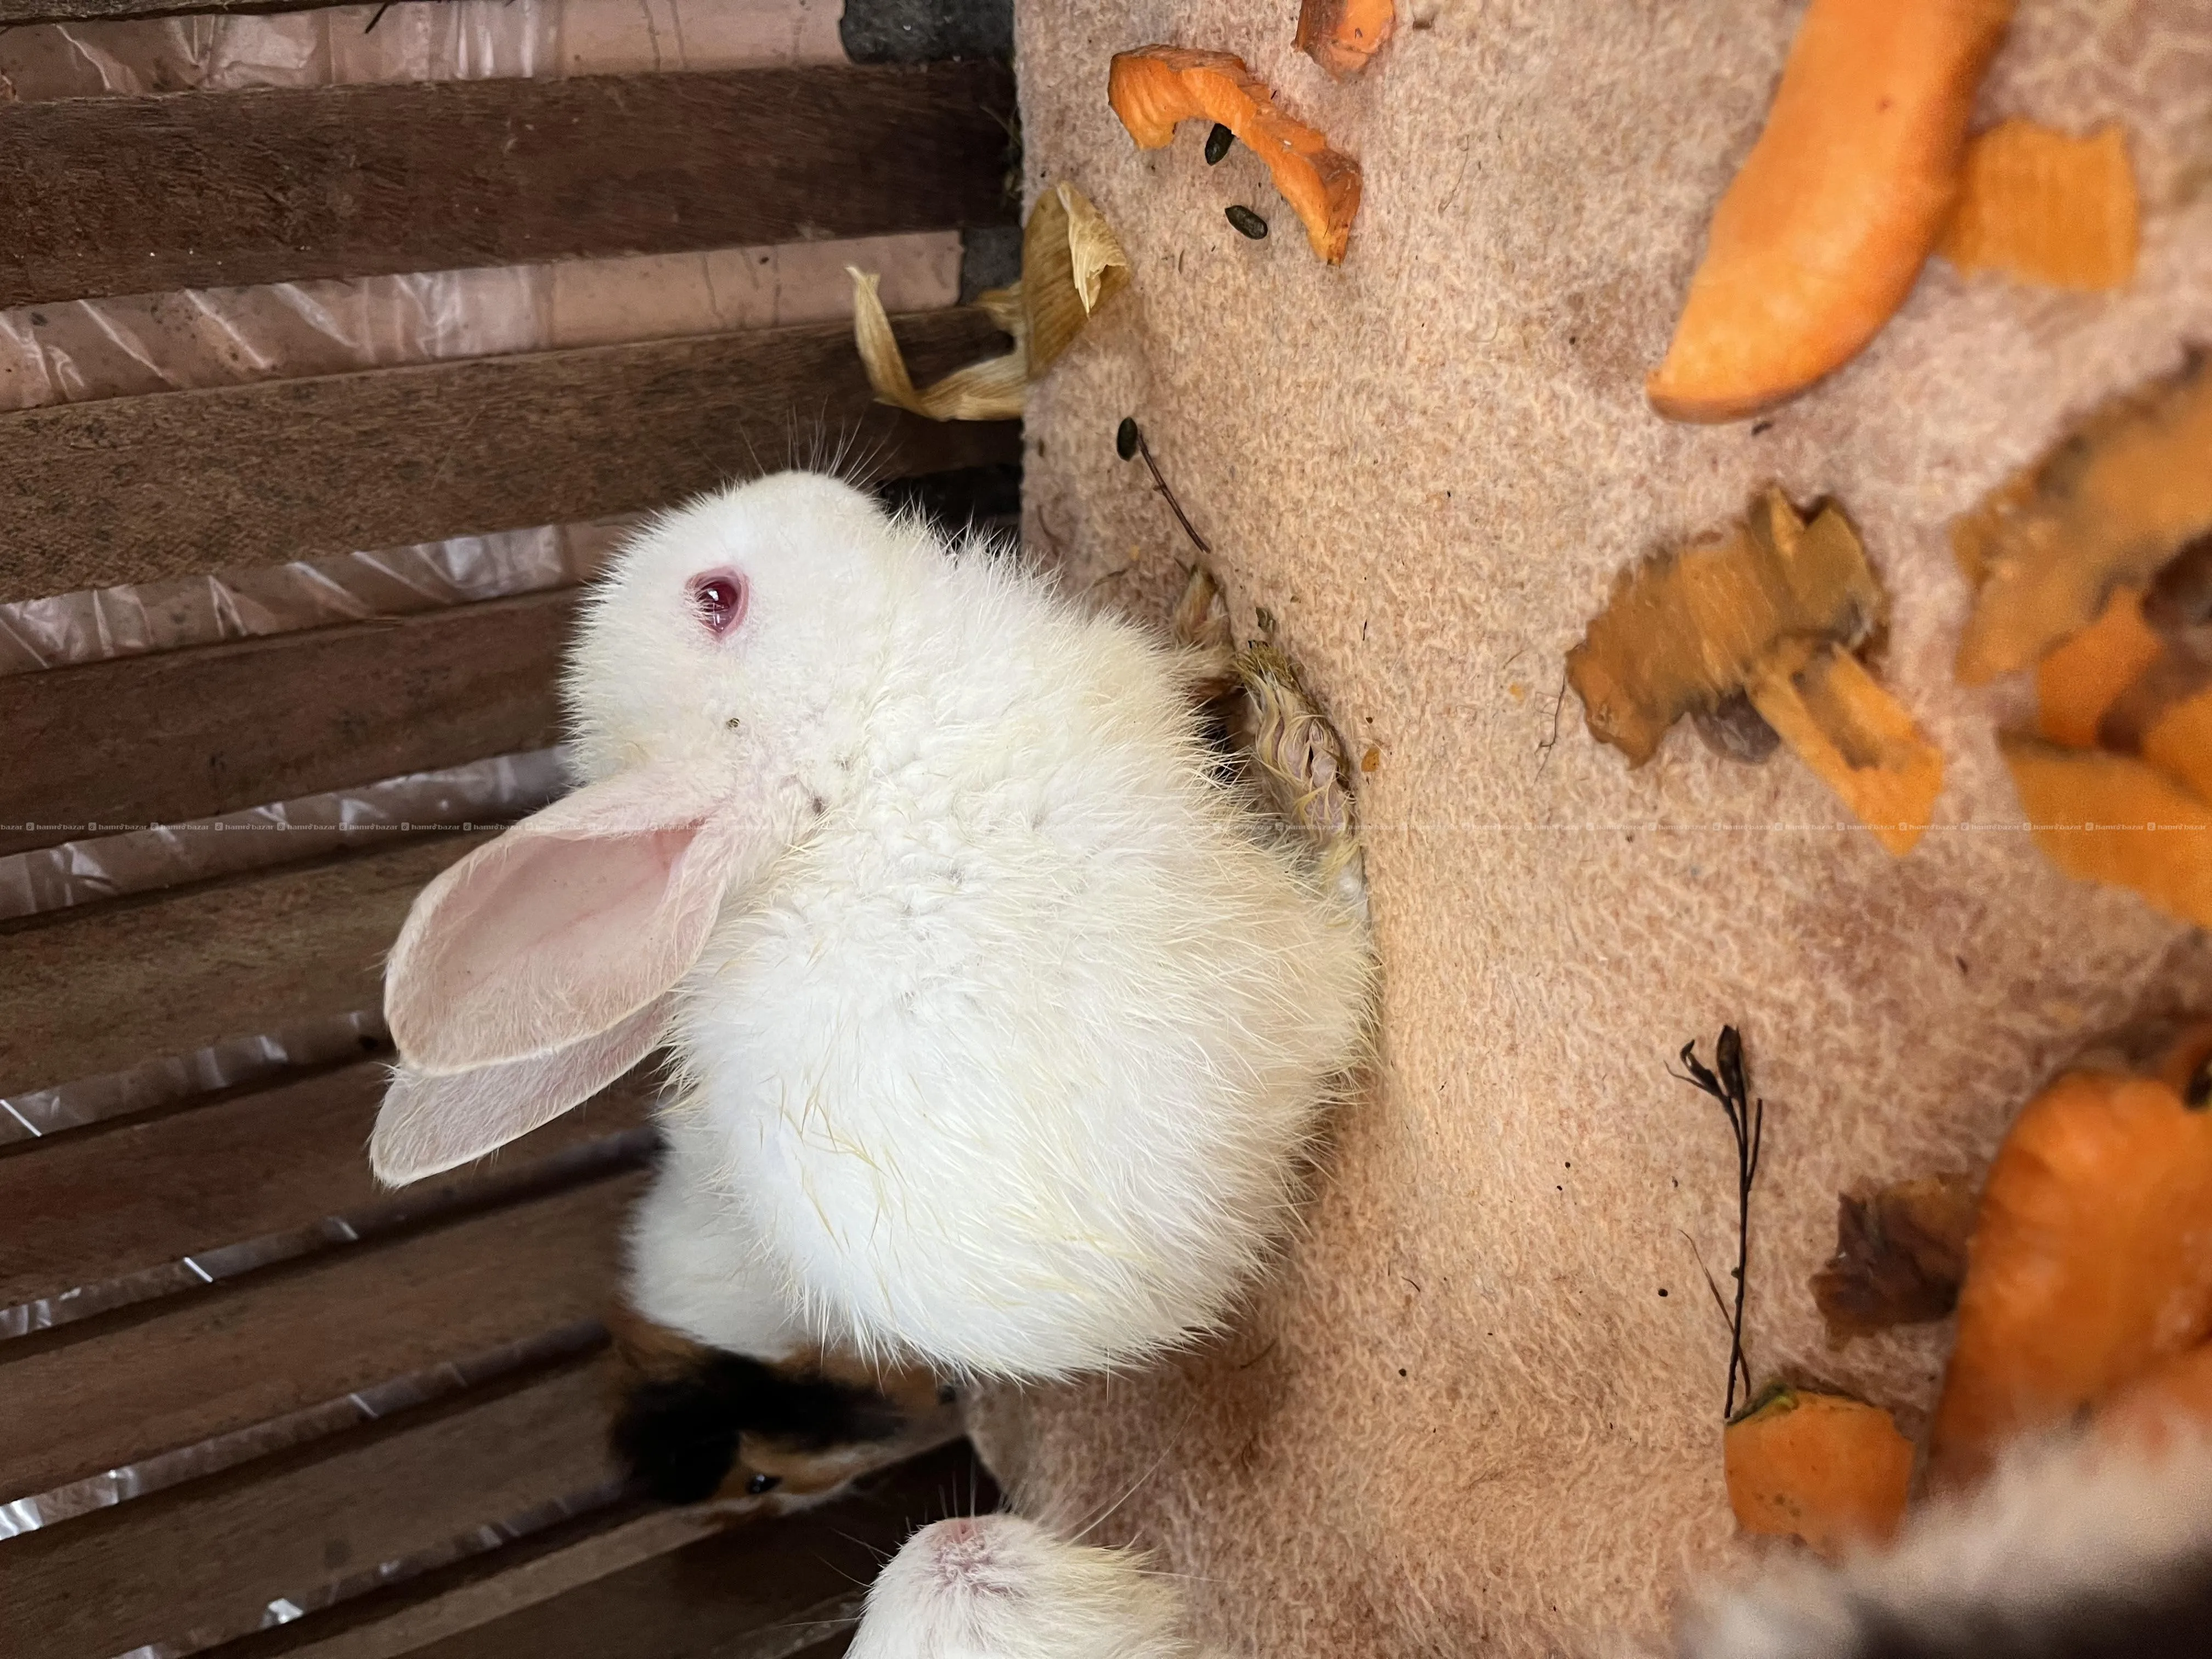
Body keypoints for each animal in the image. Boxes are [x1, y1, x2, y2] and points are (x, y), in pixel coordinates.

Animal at [371, 470, 1374, 1391]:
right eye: (717, 598)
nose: (808, 485)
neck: (836, 760)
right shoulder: (1116, 679)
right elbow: (1178, 671)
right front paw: (1215, 634)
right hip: (1264, 954)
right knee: (1349, 942)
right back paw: (1304, 762)